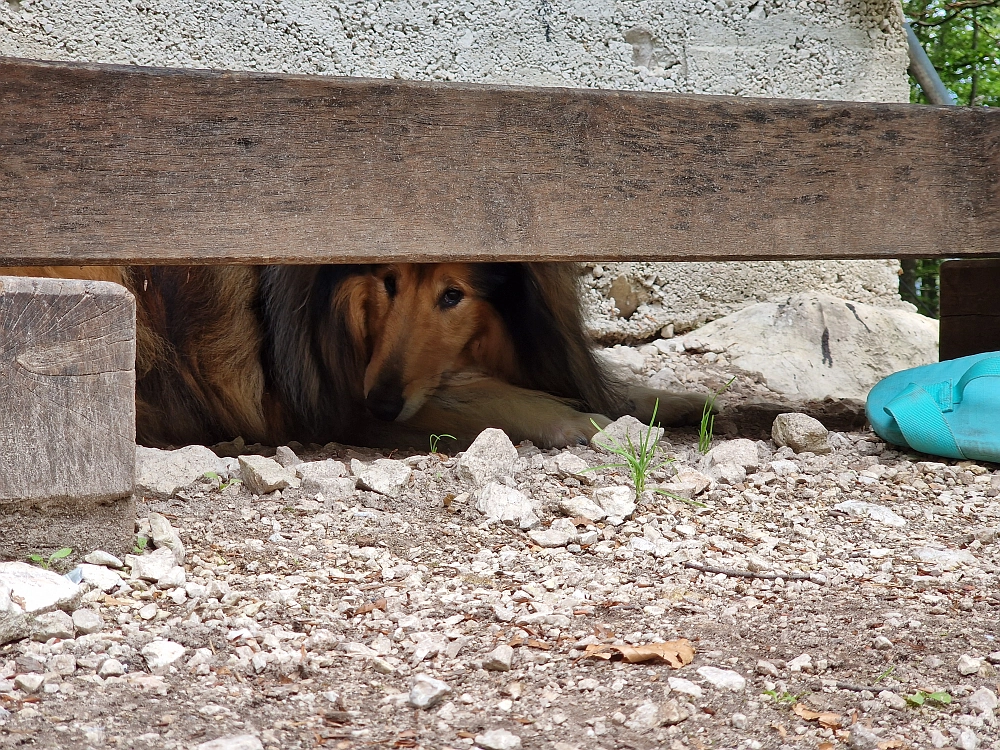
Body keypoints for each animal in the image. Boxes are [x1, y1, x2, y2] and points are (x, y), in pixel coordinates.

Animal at [3, 264, 708, 450]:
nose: (384, 400)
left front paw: (685, 402)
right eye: (388, 281)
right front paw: (591, 425)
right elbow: (501, 397)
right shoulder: (338, 405)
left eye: (453, 294)